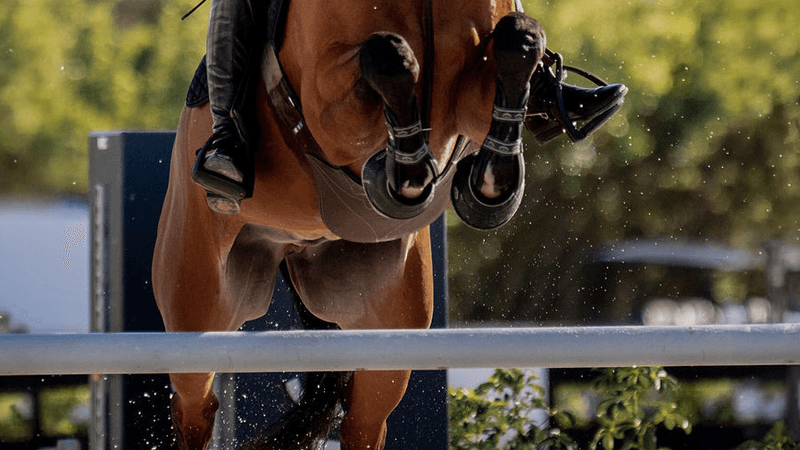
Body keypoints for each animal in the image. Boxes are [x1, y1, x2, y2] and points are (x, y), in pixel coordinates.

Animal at [152, 0, 625, 448]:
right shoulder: (326, 104)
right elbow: (387, 56)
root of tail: (294, 246)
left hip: (389, 332)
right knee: (196, 406)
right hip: (196, 306)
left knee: (363, 423)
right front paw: (409, 174)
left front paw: (489, 183)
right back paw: (227, 157)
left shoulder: (471, 93)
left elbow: (518, 39)